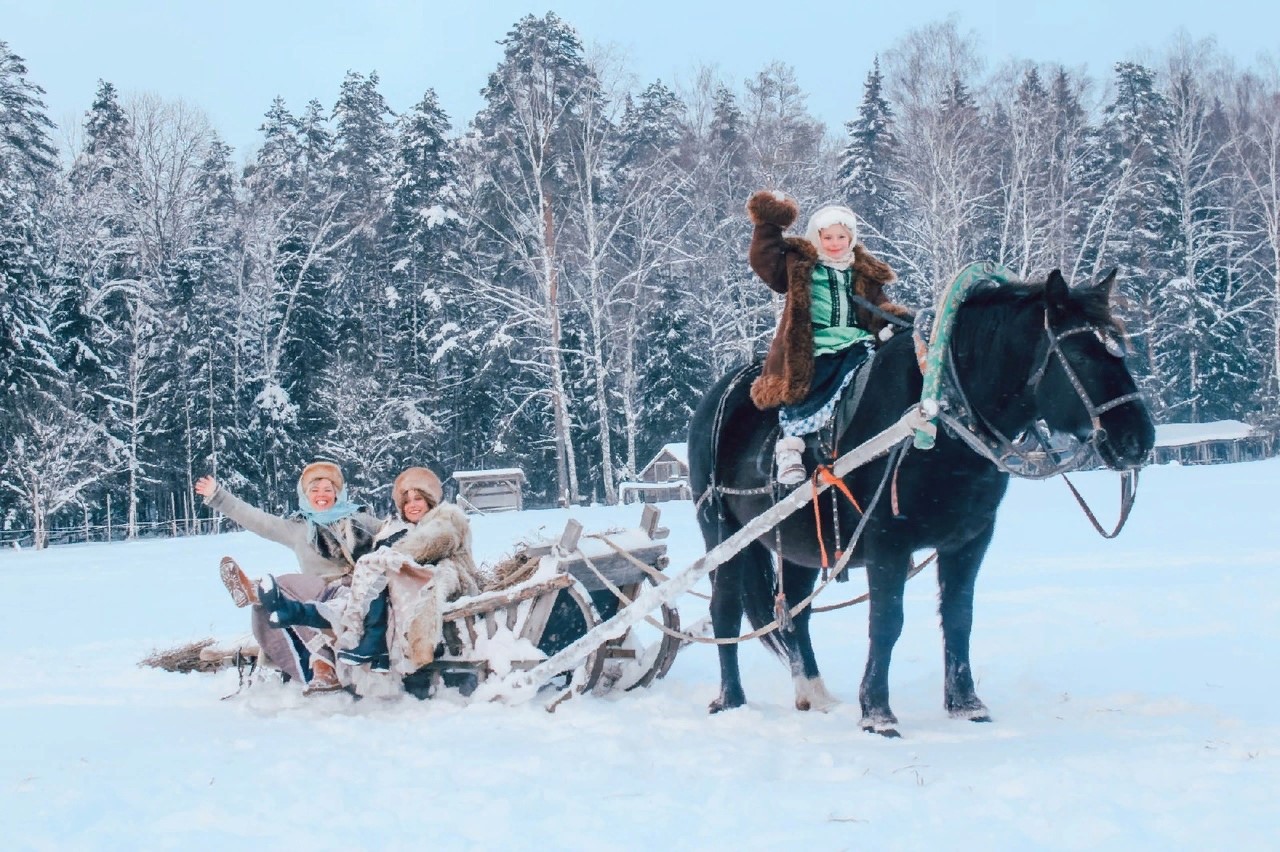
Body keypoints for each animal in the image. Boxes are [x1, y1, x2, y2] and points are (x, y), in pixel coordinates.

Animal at [696, 268, 1157, 731]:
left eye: (1121, 351)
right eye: (1079, 355)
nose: (1139, 439)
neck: (938, 412)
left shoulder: (970, 539)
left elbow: (958, 618)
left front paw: (967, 705)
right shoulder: (887, 541)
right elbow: (887, 621)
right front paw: (877, 714)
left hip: (800, 540)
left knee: (794, 611)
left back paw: (815, 694)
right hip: (722, 533)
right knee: (725, 611)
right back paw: (731, 699)